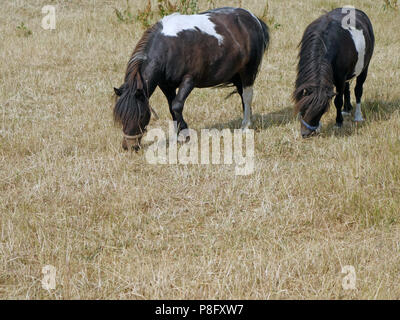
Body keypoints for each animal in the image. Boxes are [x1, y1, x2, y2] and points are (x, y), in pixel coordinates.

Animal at [112, 6, 268, 151]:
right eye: (121, 117)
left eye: (141, 116)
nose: (129, 147)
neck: (169, 48)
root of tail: (253, 19)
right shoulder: (166, 86)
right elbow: (171, 107)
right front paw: (179, 135)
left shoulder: (189, 80)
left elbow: (176, 105)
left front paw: (185, 136)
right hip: (237, 74)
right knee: (243, 95)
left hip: (248, 71)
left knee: (247, 96)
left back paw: (245, 126)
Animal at [292, 7, 374, 138]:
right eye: (303, 107)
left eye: (321, 111)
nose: (305, 133)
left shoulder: (340, 78)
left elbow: (338, 101)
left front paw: (338, 122)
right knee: (347, 88)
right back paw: (346, 109)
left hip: (364, 69)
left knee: (358, 90)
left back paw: (358, 116)